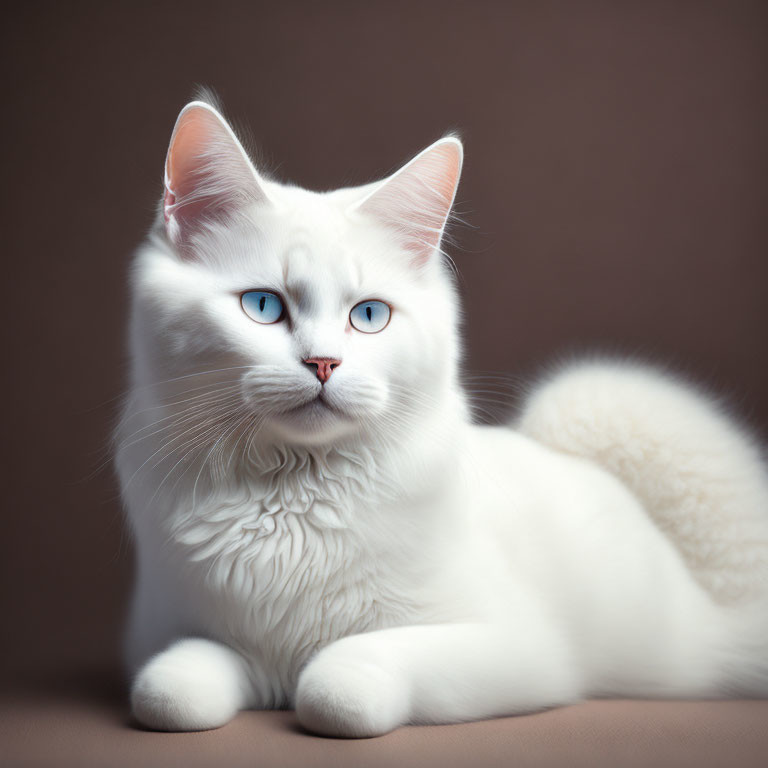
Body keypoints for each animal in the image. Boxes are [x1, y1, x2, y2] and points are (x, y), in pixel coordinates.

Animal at [117, 97, 768, 736]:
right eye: (262, 306)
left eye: (369, 316)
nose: (324, 363)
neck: (292, 494)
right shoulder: (178, 637)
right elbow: (170, 689)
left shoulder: (515, 647)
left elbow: (337, 678)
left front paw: (322, 686)